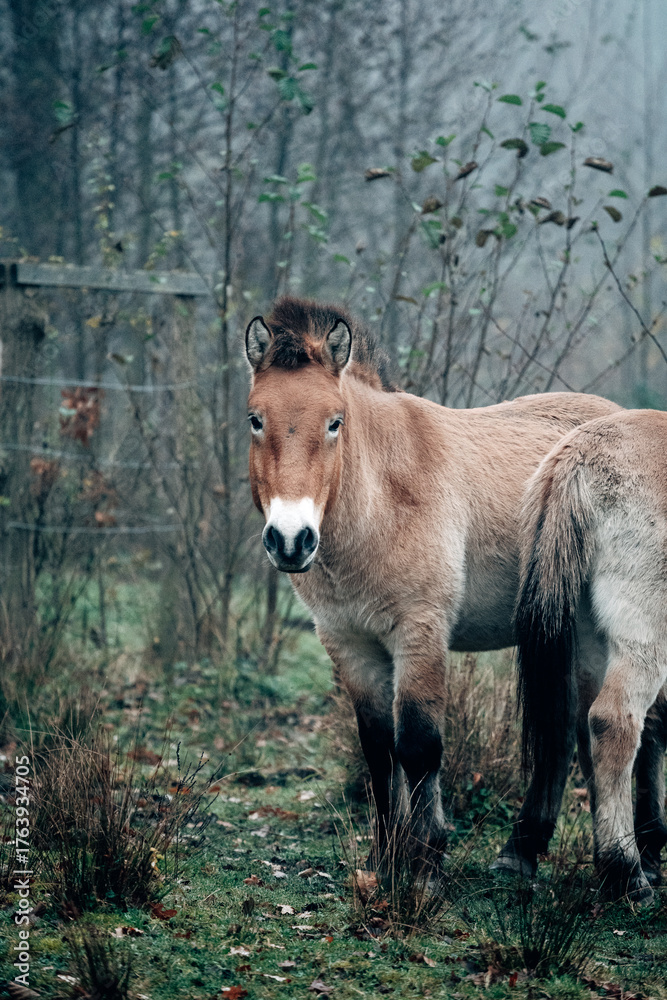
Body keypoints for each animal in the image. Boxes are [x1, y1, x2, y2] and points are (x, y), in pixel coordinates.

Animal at [243, 295, 625, 867]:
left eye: (335, 423)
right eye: (255, 419)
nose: (291, 540)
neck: (382, 499)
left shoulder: (419, 634)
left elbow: (420, 746)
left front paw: (425, 858)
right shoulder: (350, 645)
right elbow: (380, 751)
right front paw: (387, 858)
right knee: (561, 732)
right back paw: (523, 849)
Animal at [496, 409, 667, 902]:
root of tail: (581, 455)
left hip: (591, 641)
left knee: (585, 726)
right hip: (642, 638)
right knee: (613, 723)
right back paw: (625, 872)